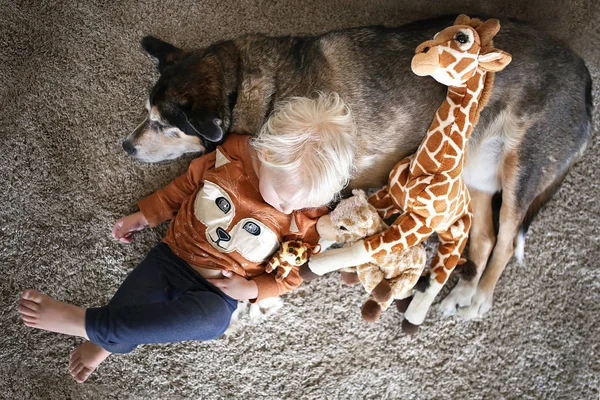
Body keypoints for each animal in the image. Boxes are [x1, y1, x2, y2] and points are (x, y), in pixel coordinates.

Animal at [122, 16, 592, 322]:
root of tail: (586, 77)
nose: (127, 147)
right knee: (485, 237)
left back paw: (479, 301)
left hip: (521, 169)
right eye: (147, 113)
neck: (243, 83)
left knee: (507, 238)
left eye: (165, 126)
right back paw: (459, 293)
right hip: (473, 169)